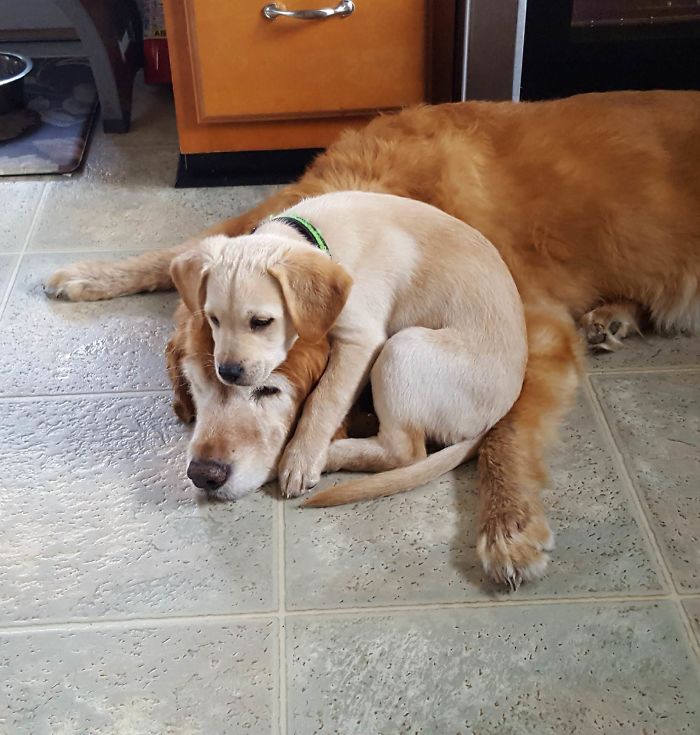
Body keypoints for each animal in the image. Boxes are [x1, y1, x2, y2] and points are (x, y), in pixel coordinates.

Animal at [175, 193, 524, 508]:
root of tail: (495, 416)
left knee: (405, 452)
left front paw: (301, 458)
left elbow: (324, 398)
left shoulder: (362, 339)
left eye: (261, 322)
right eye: (214, 319)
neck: (315, 238)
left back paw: (330, 454)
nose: (229, 373)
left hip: (401, 350)